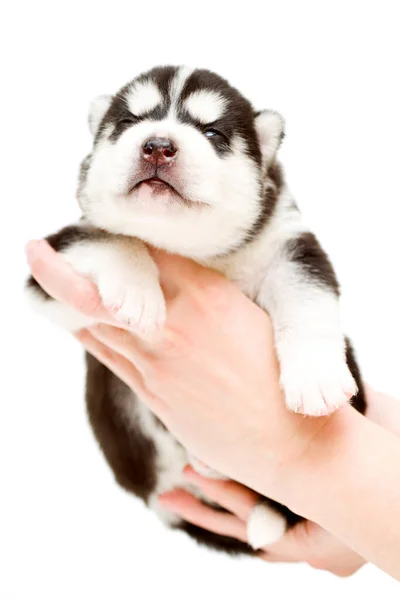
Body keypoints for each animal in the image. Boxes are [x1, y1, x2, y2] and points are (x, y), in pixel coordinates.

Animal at [26, 65, 366, 552]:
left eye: (212, 132)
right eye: (128, 122)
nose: (157, 144)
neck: (192, 250)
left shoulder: (289, 244)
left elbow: (306, 295)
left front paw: (316, 378)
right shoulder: (50, 274)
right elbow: (115, 238)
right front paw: (138, 292)